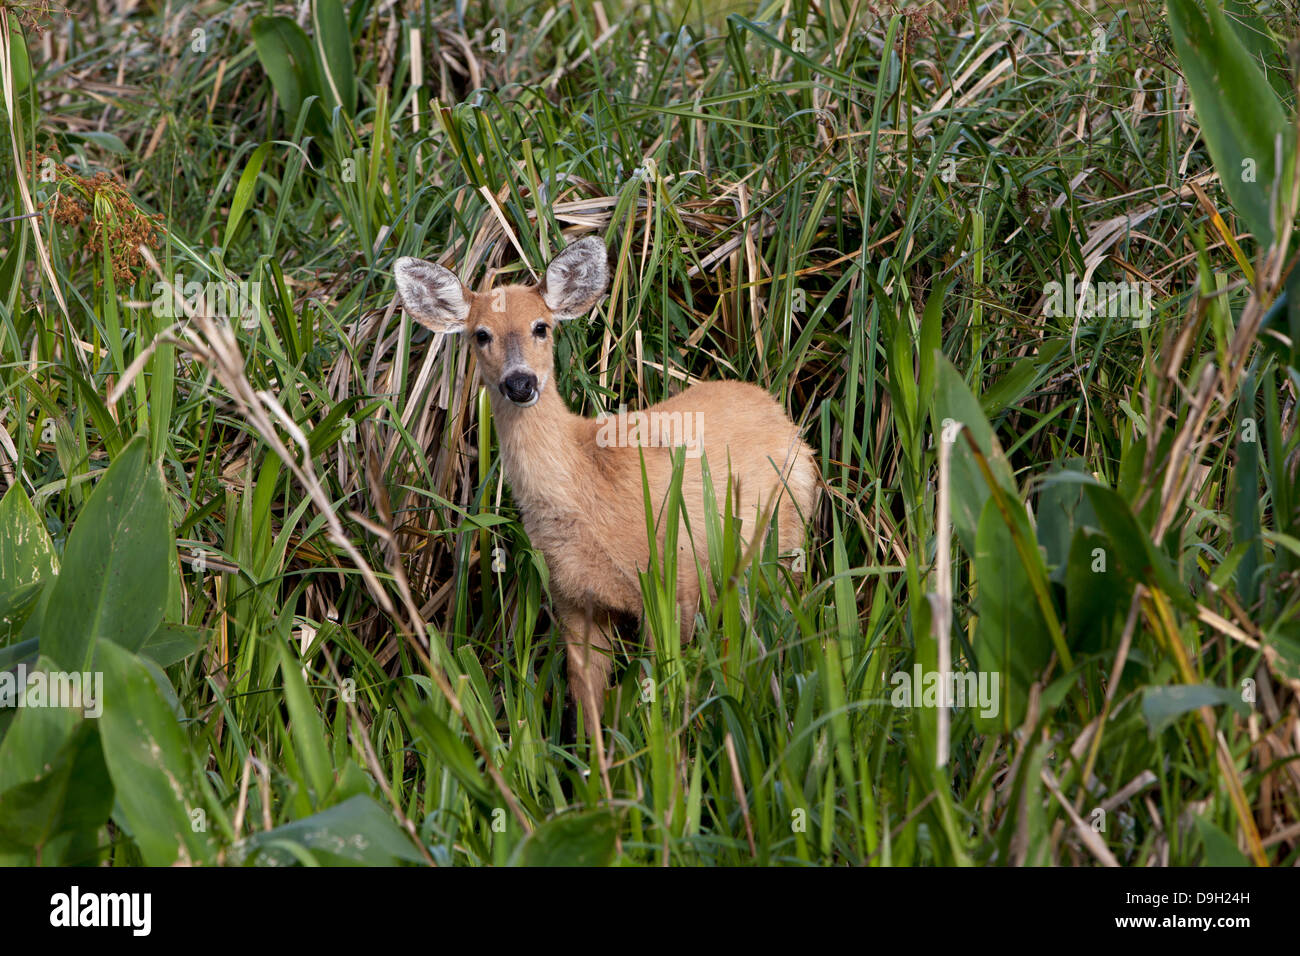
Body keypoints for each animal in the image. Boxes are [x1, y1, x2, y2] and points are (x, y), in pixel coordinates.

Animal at [390, 239, 816, 738]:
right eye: (480, 334)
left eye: (541, 327)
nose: (520, 383)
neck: (587, 493)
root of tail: (779, 412)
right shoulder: (574, 601)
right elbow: (587, 704)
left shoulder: (675, 582)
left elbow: (667, 694)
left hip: (784, 540)